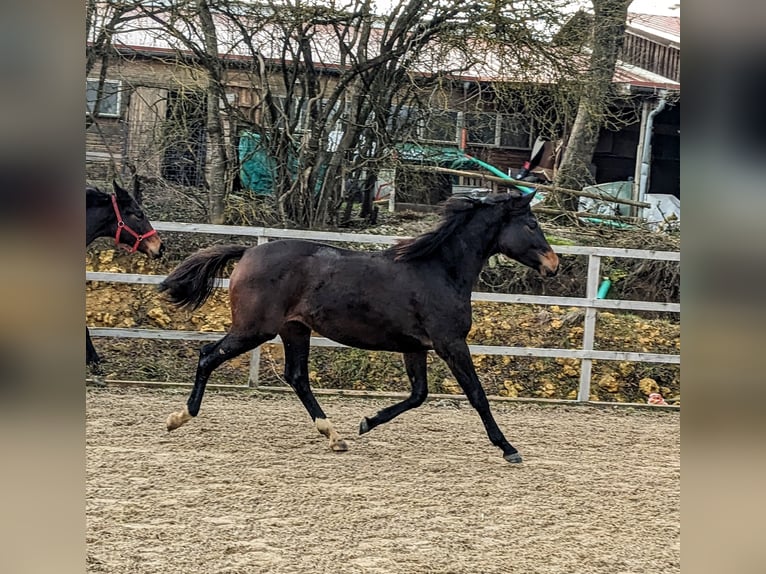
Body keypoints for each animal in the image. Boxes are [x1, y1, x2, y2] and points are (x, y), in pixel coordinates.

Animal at [160, 191, 560, 466]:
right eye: (531, 225)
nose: (553, 265)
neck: (438, 270)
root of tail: (246, 253)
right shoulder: (450, 343)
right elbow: (476, 395)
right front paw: (508, 448)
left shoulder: (416, 347)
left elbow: (418, 395)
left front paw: (367, 422)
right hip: (254, 329)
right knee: (208, 356)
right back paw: (179, 418)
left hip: (294, 330)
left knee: (297, 377)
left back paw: (334, 436)